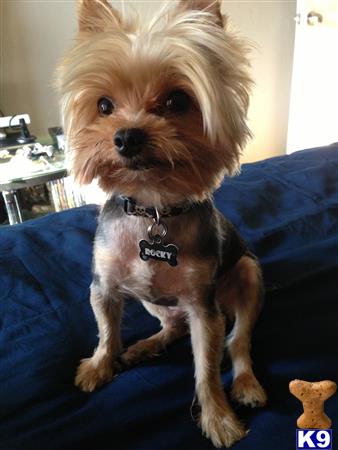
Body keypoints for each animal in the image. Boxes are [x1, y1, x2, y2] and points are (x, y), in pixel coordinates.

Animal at [58, 0, 270, 446]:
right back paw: (144, 346)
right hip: (153, 300)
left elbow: (207, 369)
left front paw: (218, 418)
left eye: (177, 100)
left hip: (247, 275)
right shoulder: (104, 287)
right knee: (173, 324)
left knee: (238, 340)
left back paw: (246, 385)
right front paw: (100, 366)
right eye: (104, 105)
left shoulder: (203, 309)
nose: (127, 137)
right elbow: (107, 331)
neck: (152, 210)